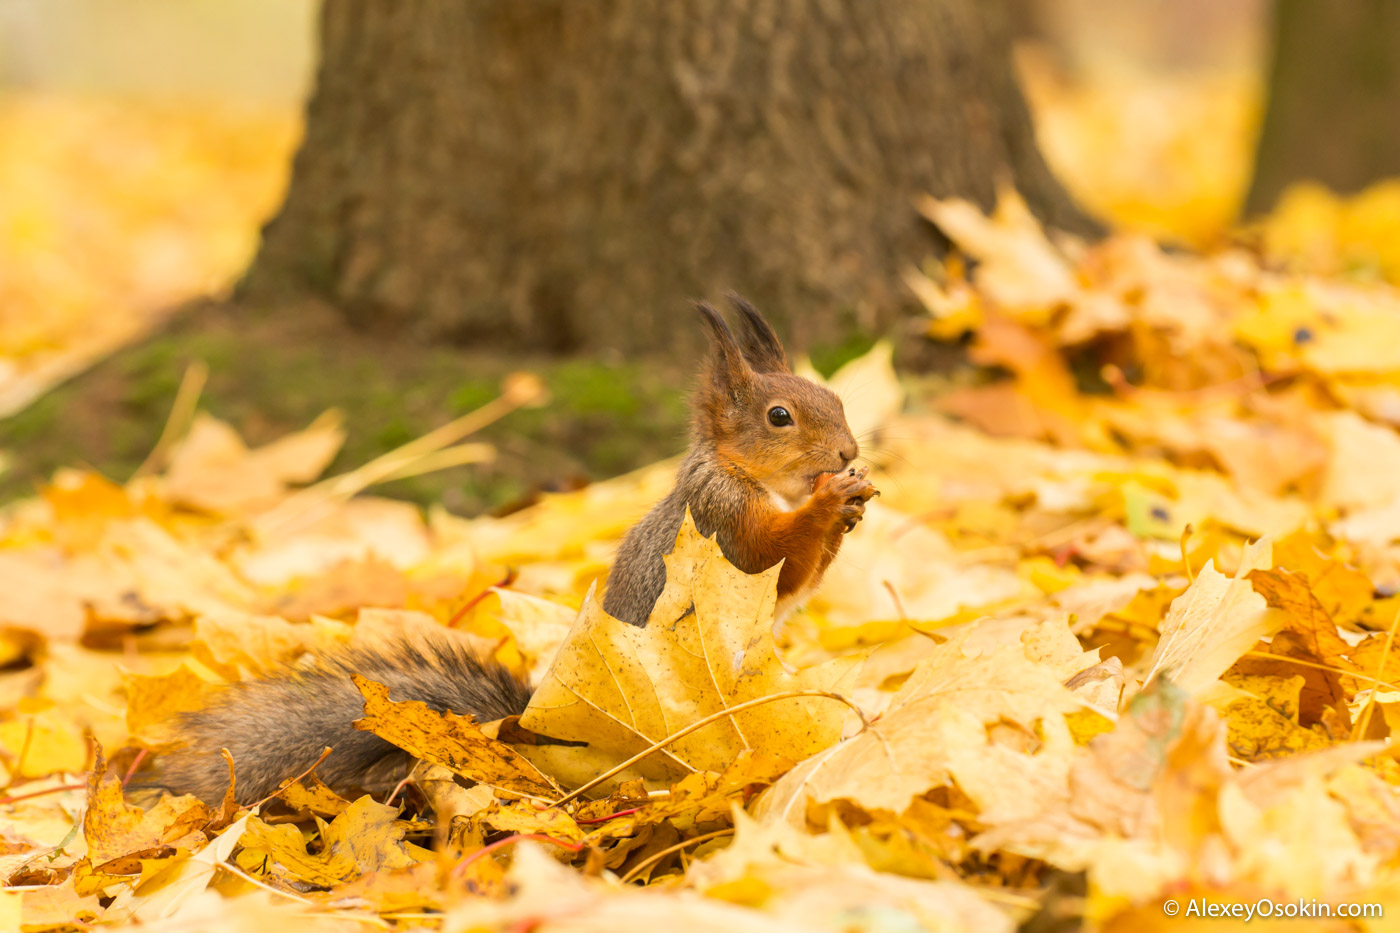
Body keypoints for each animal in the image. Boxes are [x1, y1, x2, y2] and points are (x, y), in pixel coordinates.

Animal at [153, 295, 873, 801]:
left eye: (835, 396)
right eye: (779, 417)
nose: (847, 452)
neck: (753, 478)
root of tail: (542, 733)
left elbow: (799, 581)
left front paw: (852, 506)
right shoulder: (716, 524)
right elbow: (769, 557)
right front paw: (828, 505)